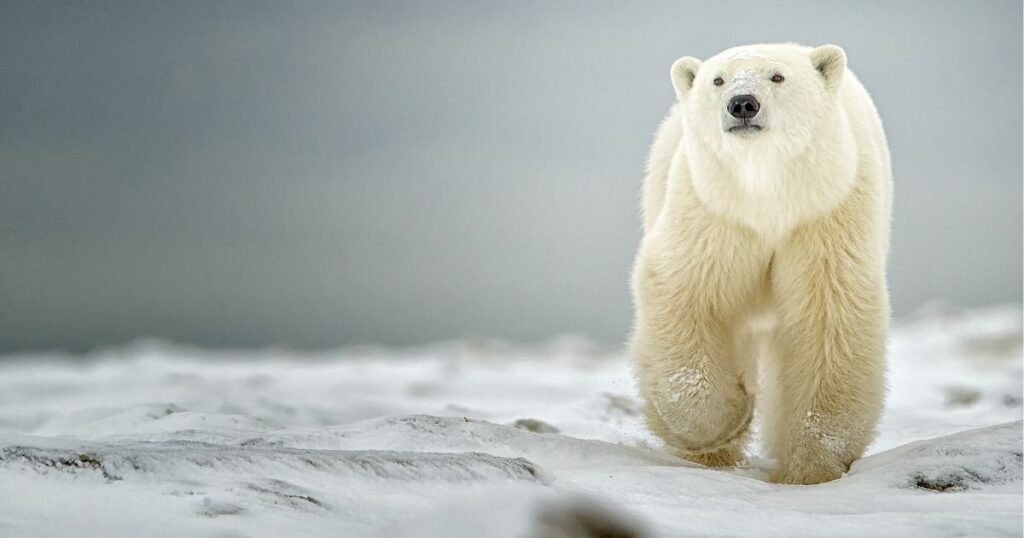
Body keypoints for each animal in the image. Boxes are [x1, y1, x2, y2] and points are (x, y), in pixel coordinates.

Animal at [630, 43, 892, 485]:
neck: (768, 194)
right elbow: (686, 293)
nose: (742, 104)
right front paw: (726, 421)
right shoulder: (715, 212)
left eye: (777, 76)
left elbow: (829, 321)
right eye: (717, 79)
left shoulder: (826, 214)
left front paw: (811, 466)